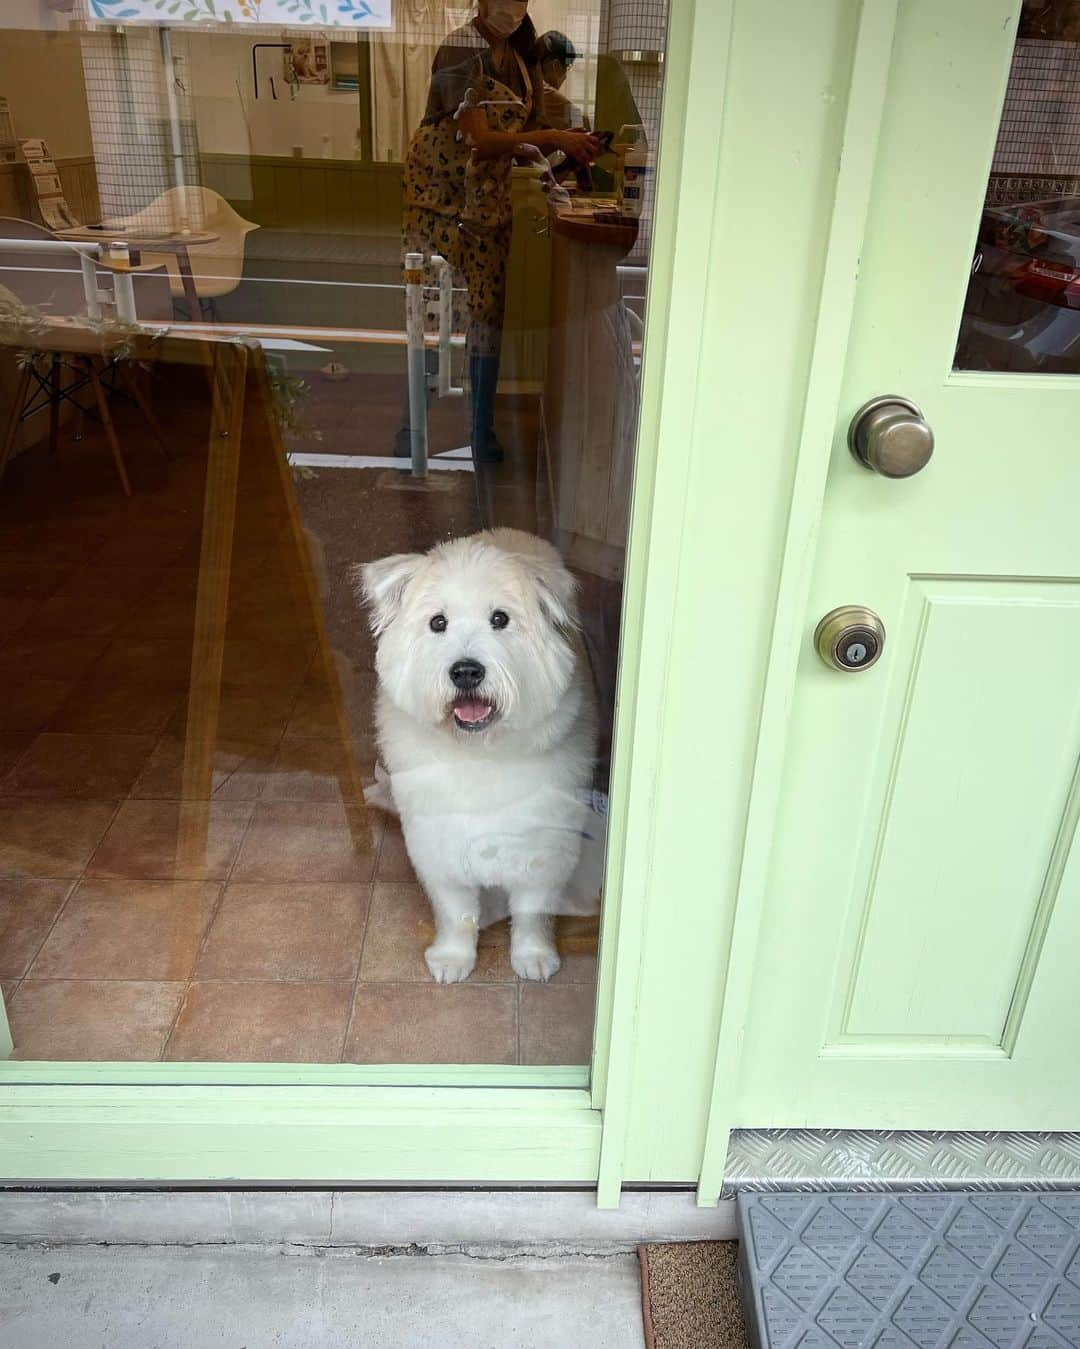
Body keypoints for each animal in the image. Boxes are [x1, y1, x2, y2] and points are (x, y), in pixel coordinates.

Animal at [361, 526, 598, 982]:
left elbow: (531, 912)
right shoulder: (437, 845)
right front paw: (453, 958)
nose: (466, 671)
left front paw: (533, 956)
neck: (479, 752)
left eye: (500, 619)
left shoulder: (543, 848)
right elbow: (456, 913)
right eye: (438, 622)